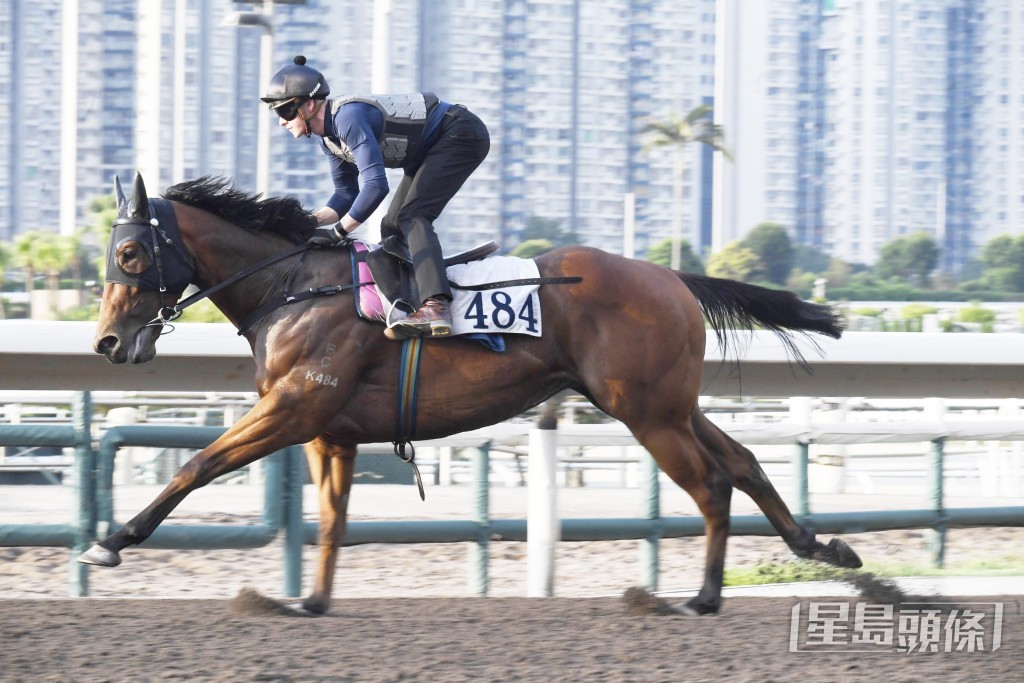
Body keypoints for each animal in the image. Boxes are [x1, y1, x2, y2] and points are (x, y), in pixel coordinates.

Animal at [82, 173, 861, 615]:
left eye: (129, 253)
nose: (109, 345)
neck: (295, 287)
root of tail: (672, 277)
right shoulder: (330, 431)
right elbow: (332, 519)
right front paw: (312, 601)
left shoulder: (294, 408)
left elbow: (197, 464)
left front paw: (110, 543)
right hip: (669, 404)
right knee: (744, 463)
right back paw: (822, 547)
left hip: (645, 412)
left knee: (710, 484)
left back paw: (700, 597)